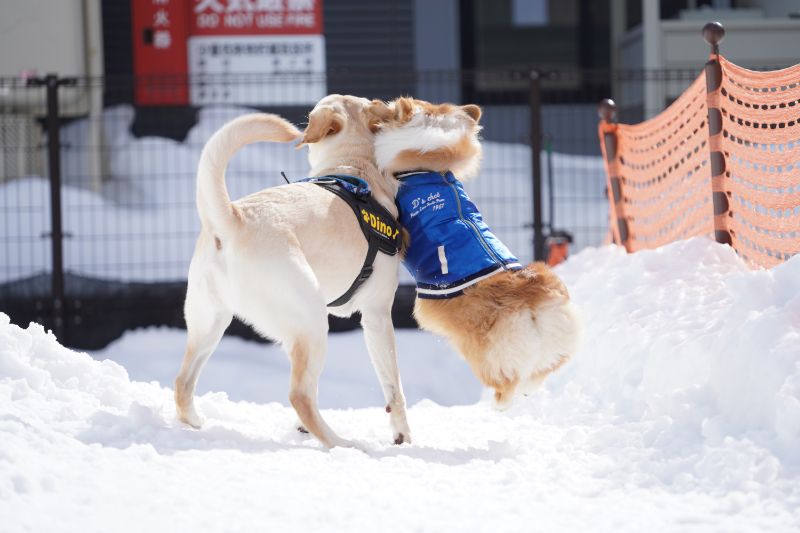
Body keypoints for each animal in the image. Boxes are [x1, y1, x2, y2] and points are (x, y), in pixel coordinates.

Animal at [176, 94, 412, 444]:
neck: (353, 165)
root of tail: (234, 219)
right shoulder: (377, 314)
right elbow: (394, 387)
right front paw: (403, 437)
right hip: (312, 322)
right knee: (300, 395)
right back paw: (341, 444)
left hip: (210, 323)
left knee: (183, 383)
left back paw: (194, 421)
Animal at [372, 96, 580, 408]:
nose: (379, 103)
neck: (430, 167)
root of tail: (533, 297)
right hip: (556, 342)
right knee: (543, 370)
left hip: (480, 352)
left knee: (507, 383)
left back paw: (497, 404)